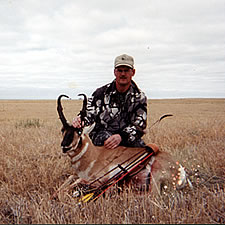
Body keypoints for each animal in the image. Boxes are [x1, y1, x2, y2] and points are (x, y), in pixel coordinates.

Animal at [52, 94, 190, 201]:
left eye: (79, 131)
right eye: (62, 129)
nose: (65, 146)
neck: (94, 155)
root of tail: (180, 167)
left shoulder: (98, 180)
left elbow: (73, 185)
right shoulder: (77, 175)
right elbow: (68, 180)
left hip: (155, 176)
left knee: (152, 195)